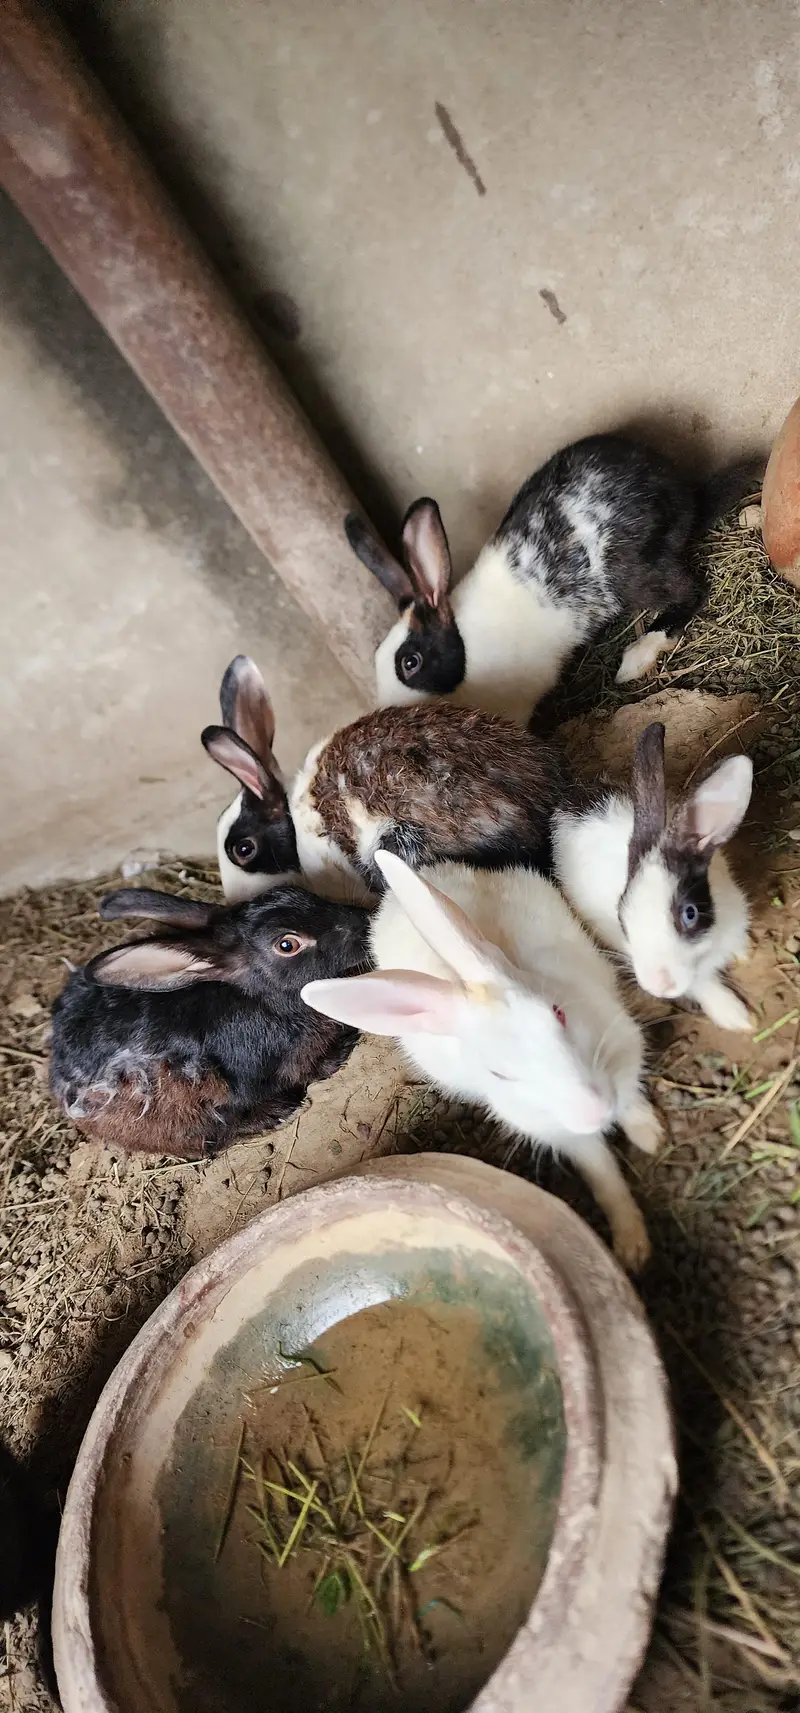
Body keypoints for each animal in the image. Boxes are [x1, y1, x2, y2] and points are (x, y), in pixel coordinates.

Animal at [302, 850, 660, 1271]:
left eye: (557, 1013)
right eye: (498, 1074)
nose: (594, 1110)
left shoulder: (623, 1052)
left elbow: (632, 1102)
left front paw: (650, 1137)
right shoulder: (564, 1134)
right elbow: (603, 1175)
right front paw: (631, 1244)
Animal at [345, 438, 763, 724]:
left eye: (410, 663)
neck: (466, 650)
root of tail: (686, 498)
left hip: (631, 574)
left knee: (689, 591)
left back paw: (635, 658)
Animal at [552, 721, 754, 1031]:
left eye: (690, 914)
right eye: (622, 919)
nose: (659, 986)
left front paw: (744, 954)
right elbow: (705, 987)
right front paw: (737, 1017)